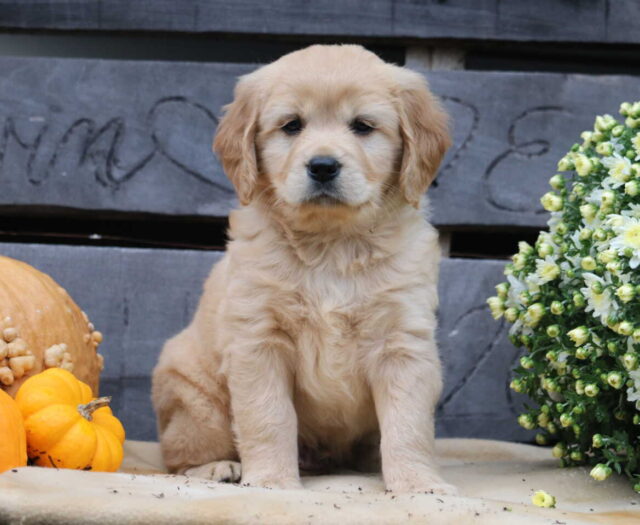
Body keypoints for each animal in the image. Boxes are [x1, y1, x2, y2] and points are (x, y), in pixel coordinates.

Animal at [152, 44, 452, 492]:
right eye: (291, 126)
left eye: (362, 127)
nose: (323, 165)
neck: (331, 246)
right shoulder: (259, 340)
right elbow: (269, 416)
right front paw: (272, 482)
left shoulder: (403, 343)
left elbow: (407, 424)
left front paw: (419, 484)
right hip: (194, 399)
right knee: (179, 456)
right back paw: (217, 467)